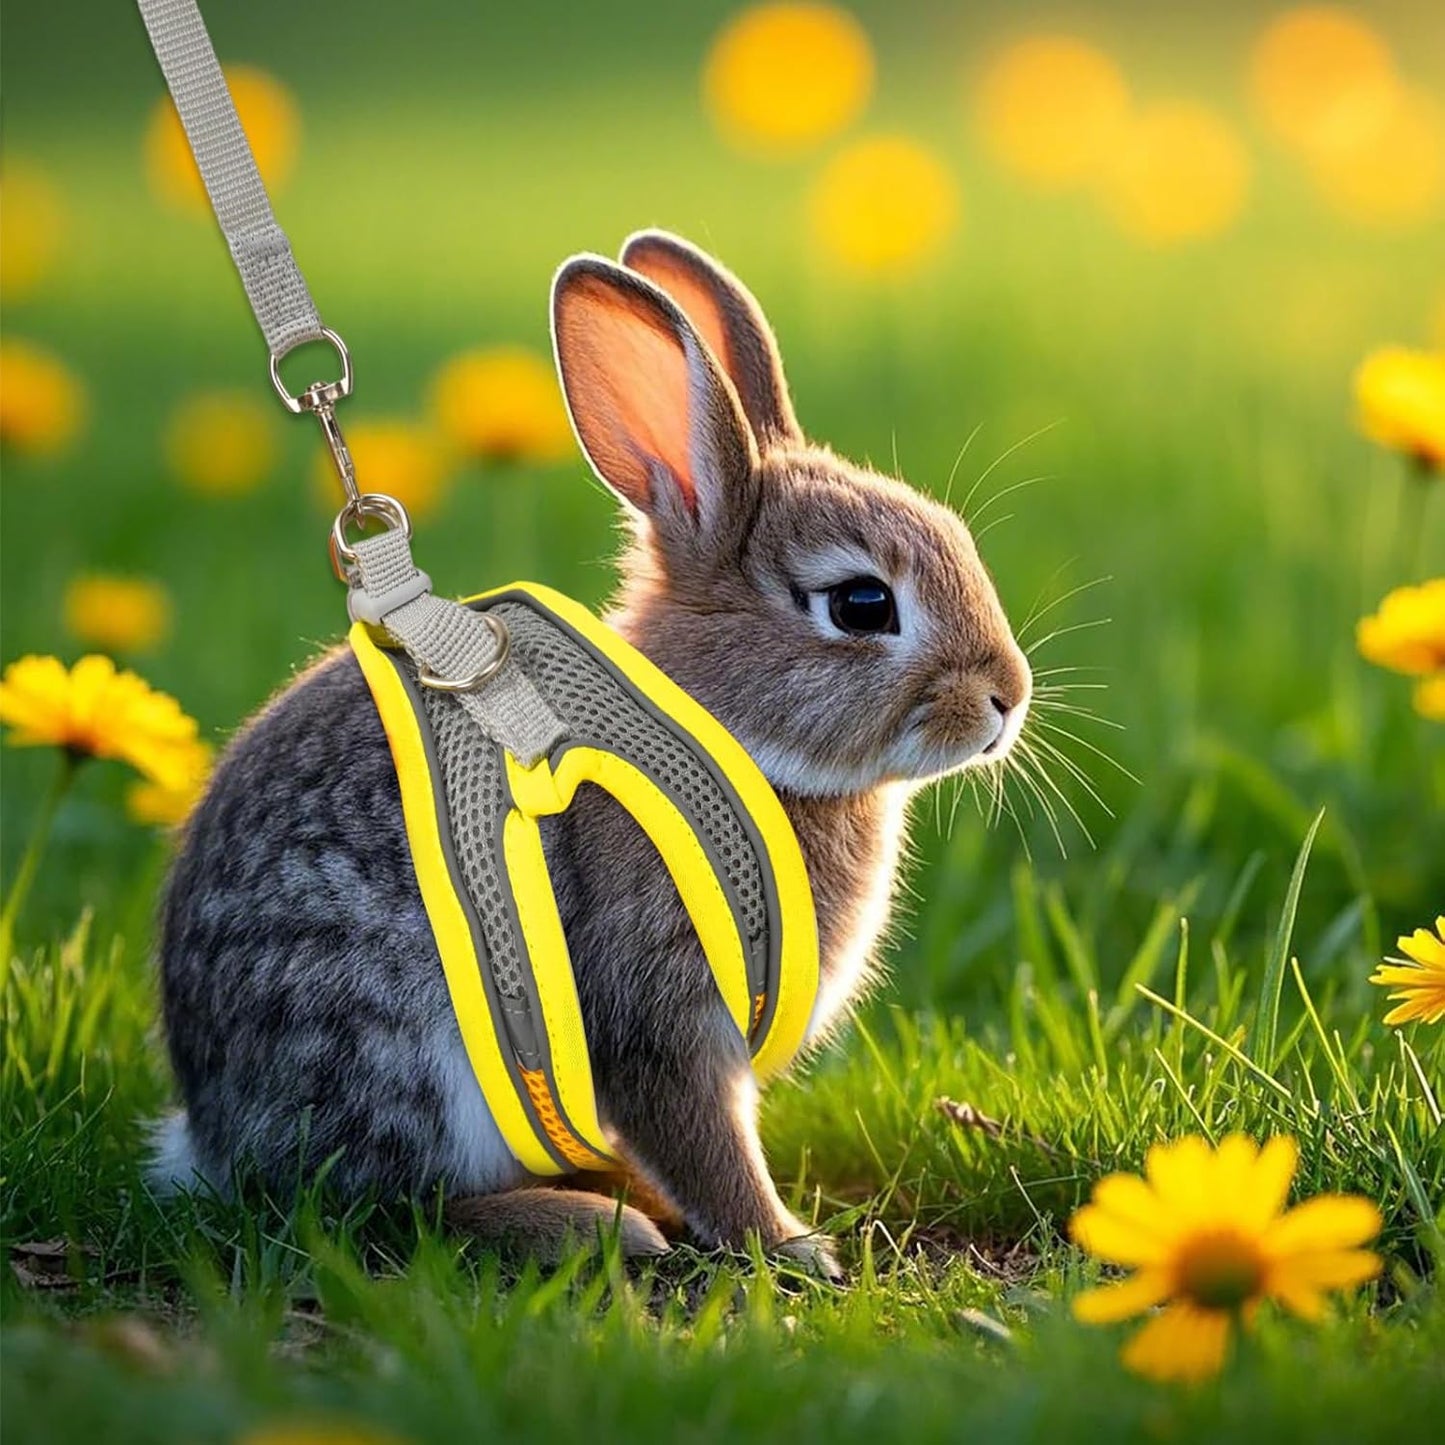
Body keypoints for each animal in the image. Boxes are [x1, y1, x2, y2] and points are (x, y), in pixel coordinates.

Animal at [152, 231, 1031, 1279]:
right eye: (862, 604)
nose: (1007, 696)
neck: (722, 733)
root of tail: (212, 1134)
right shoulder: (653, 1012)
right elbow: (703, 1140)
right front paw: (791, 1245)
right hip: (401, 1055)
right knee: (384, 1209)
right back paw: (587, 1223)